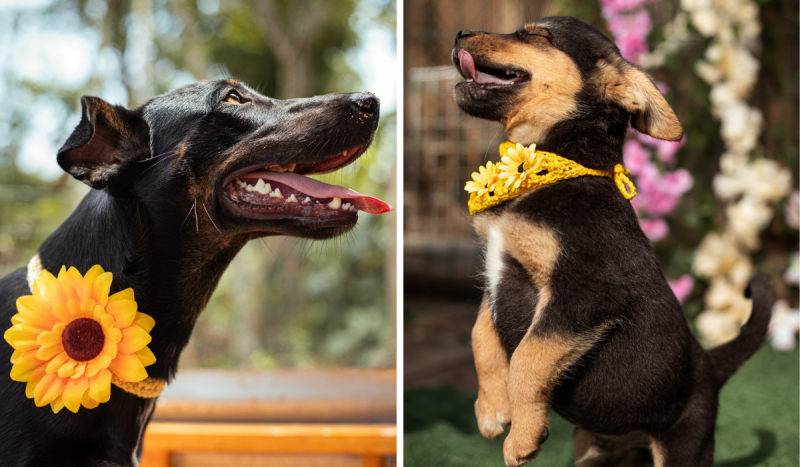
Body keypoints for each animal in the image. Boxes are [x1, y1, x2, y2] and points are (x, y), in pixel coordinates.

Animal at [456, 14, 776, 467]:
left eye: (536, 35)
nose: (460, 34)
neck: (556, 164)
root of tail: (709, 367)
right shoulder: (496, 272)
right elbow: (481, 336)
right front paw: (491, 409)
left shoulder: (586, 291)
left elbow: (528, 357)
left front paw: (522, 436)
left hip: (685, 445)